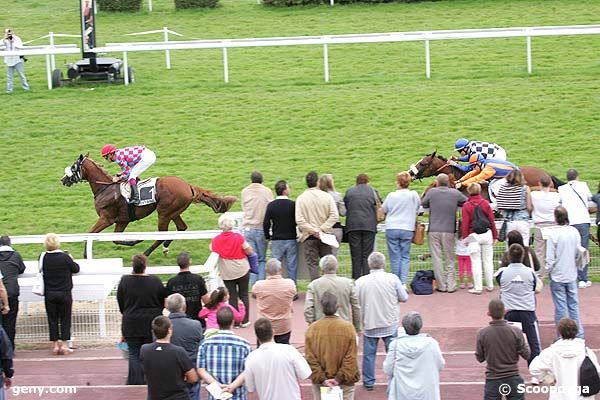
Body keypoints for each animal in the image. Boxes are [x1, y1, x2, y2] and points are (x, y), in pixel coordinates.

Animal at [61, 155, 237, 255]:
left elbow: (89, 234)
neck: (105, 188)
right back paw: (165, 247)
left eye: (73, 167)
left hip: (164, 213)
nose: (63, 180)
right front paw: (134, 241)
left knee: (162, 235)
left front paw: (85, 255)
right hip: (173, 212)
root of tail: (188, 186)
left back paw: (146, 253)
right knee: (181, 228)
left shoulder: (106, 218)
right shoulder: (122, 220)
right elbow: (116, 239)